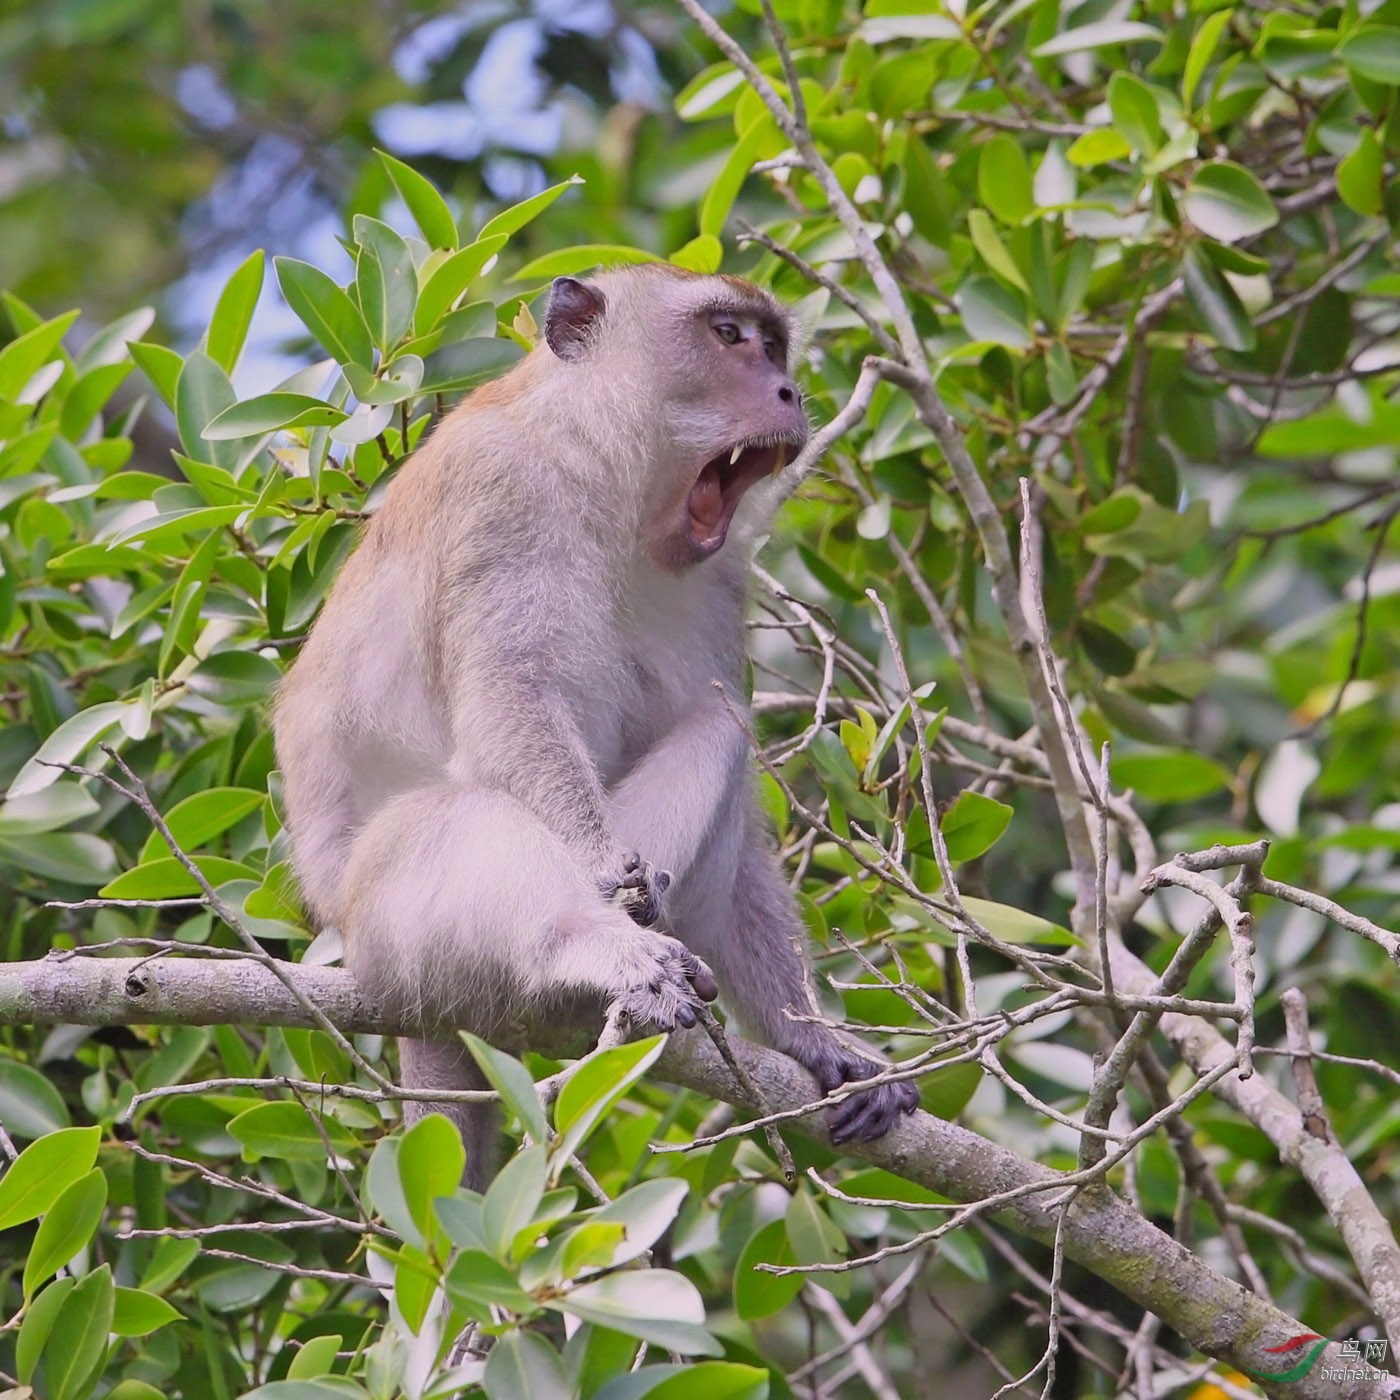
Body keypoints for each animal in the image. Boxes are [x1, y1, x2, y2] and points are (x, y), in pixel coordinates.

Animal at [275, 264, 918, 1181]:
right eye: (729, 337)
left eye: (775, 345)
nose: (790, 392)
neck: (600, 473)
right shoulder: (497, 492)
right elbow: (513, 699)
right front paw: (605, 884)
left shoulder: (721, 578)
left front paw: (816, 1040)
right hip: (388, 937)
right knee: (456, 820)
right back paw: (595, 950)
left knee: (717, 727)